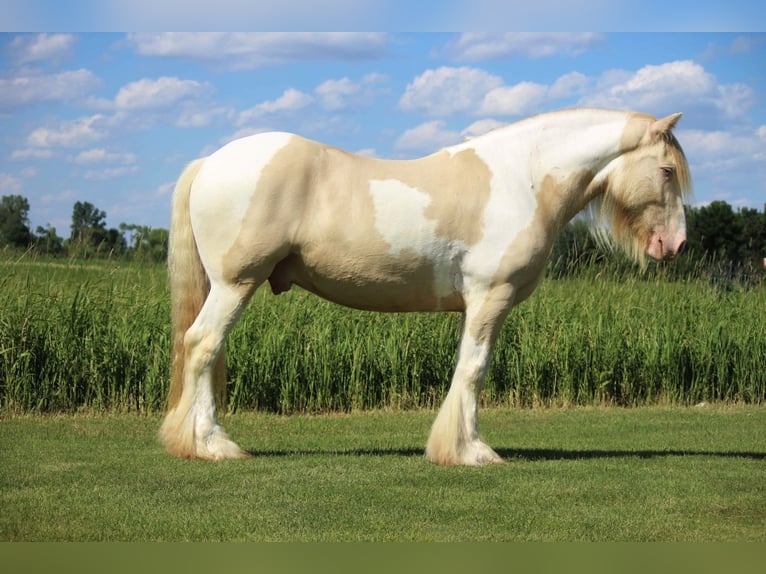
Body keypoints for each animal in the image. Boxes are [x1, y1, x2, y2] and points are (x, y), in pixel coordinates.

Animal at [159, 108, 692, 468]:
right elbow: (474, 370)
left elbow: (466, 369)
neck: (524, 178)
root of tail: (210, 162)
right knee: (203, 345)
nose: (677, 244)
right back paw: (213, 444)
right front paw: (471, 451)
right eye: (667, 170)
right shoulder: (490, 297)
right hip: (235, 284)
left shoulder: (475, 305)